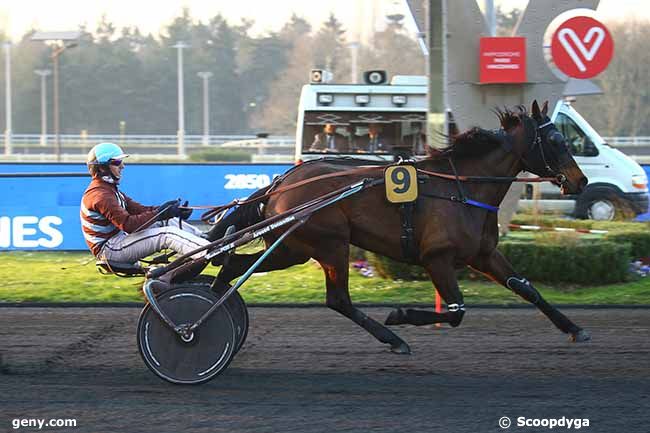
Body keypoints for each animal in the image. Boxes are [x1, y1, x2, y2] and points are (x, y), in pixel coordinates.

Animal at [210, 100, 588, 352]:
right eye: (556, 141)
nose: (580, 181)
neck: (462, 188)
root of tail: (281, 182)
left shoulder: (483, 255)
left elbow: (526, 288)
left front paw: (574, 328)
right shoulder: (438, 258)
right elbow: (456, 311)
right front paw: (400, 313)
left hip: (292, 248)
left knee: (233, 266)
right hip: (330, 244)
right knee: (338, 299)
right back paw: (393, 337)